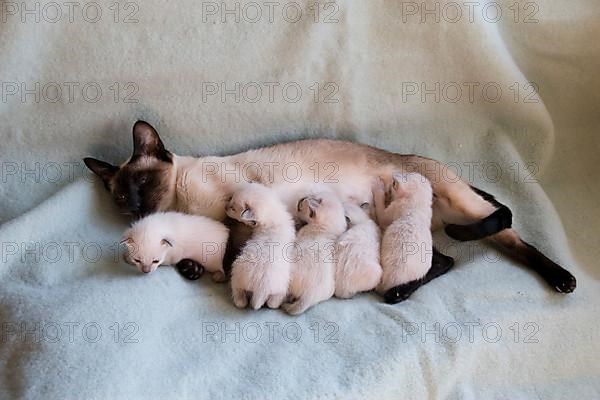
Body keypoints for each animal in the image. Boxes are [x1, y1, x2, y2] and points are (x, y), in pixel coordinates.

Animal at [83, 122, 576, 300]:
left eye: (143, 184)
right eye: (122, 198)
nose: (137, 207)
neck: (182, 203)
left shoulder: (238, 207)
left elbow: (231, 248)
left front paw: (224, 273)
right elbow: (204, 256)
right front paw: (193, 269)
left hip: (459, 202)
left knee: (505, 228)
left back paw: (563, 279)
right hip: (411, 224)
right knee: (451, 257)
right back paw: (400, 292)